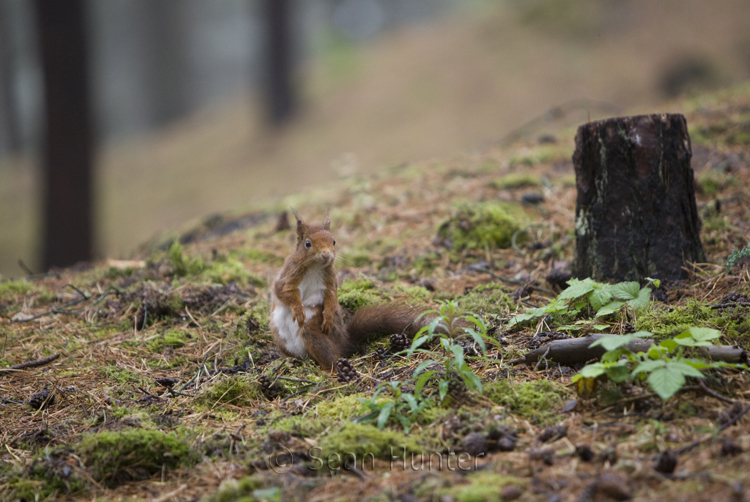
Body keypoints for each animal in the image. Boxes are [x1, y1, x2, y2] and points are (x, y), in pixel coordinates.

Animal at [269, 211, 425, 371]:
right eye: (307, 244)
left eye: (333, 241)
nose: (326, 254)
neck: (314, 267)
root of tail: (344, 341)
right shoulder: (288, 276)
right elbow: (284, 292)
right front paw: (299, 310)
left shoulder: (330, 283)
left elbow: (332, 299)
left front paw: (328, 318)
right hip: (281, 338)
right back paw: (290, 361)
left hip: (312, 332)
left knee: (331, 356)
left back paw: (327, 371)